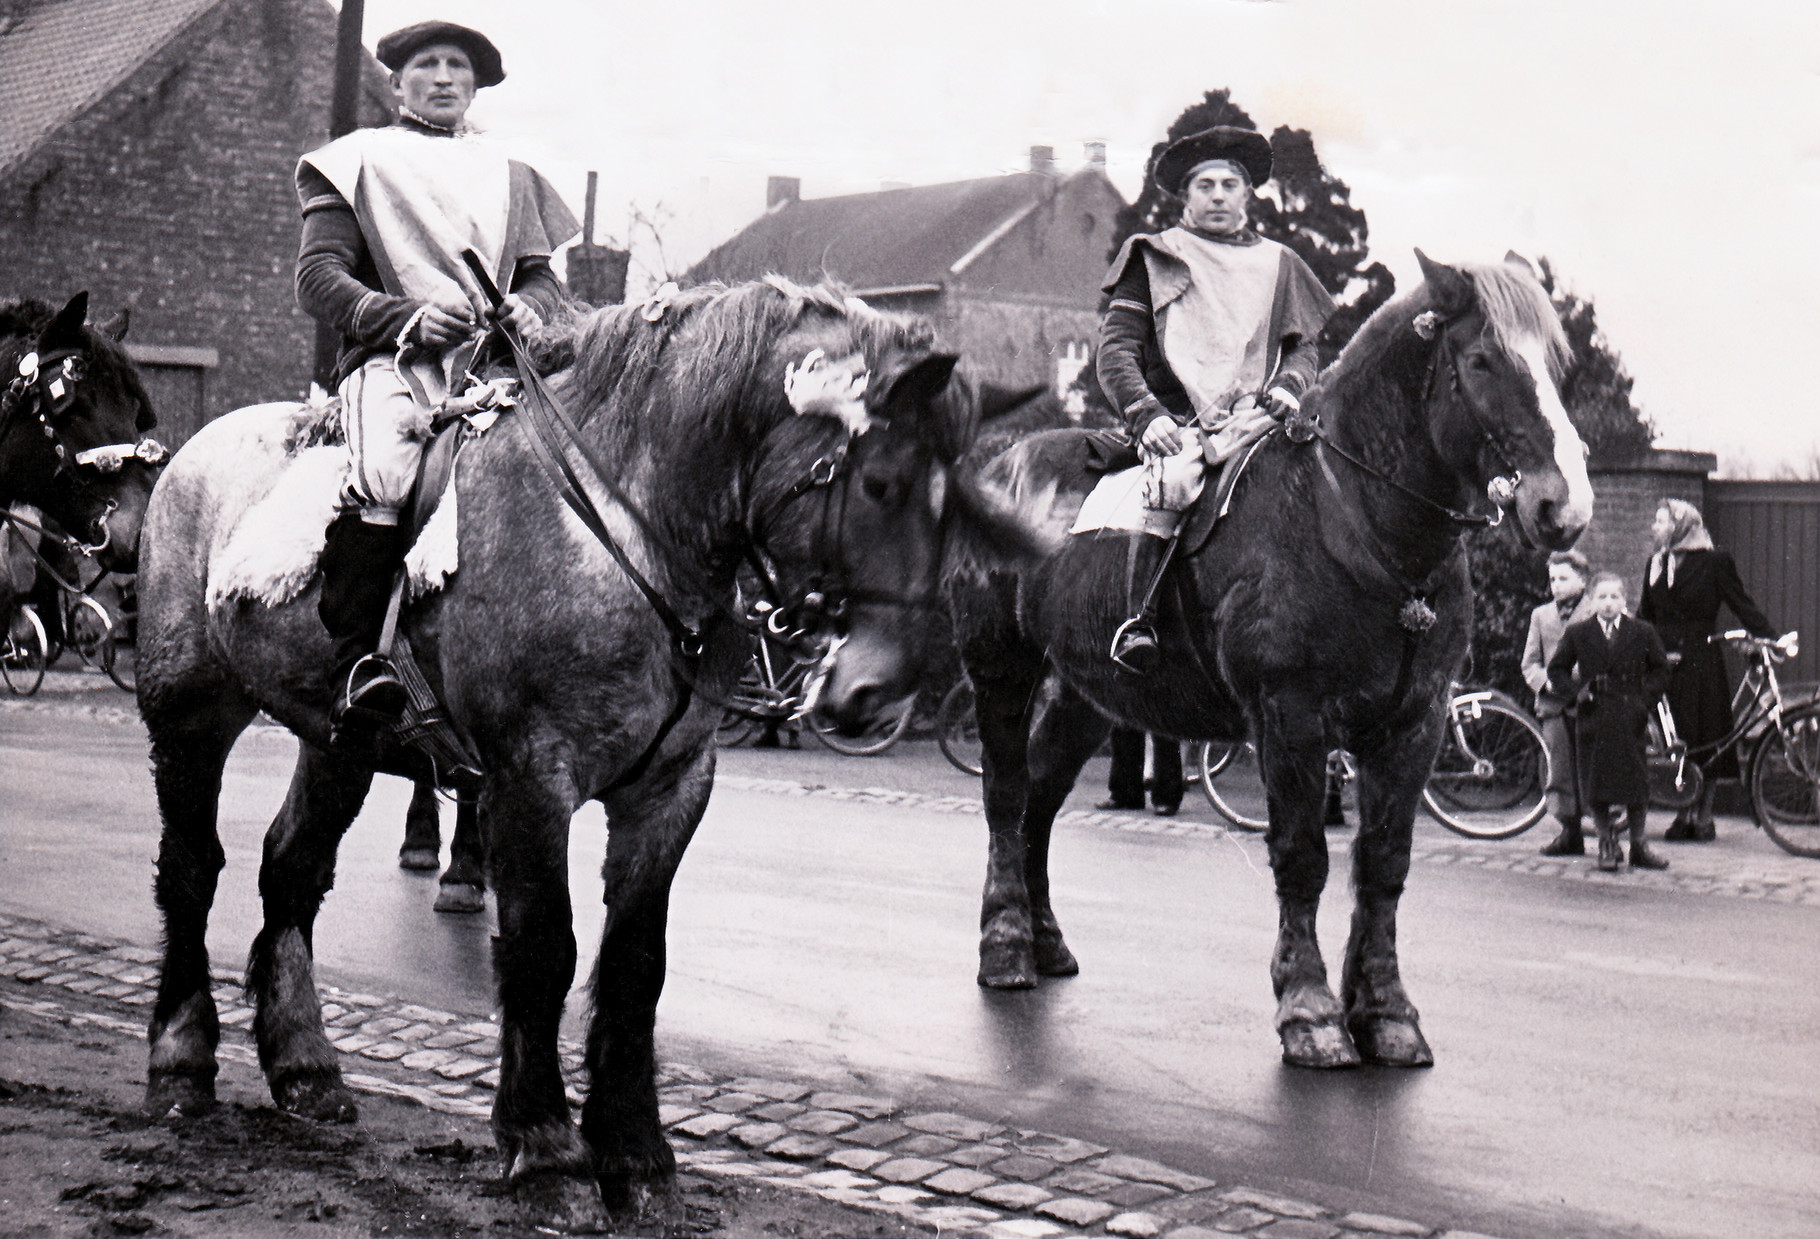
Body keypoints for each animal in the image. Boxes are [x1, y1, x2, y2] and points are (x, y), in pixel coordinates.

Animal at [138, 278, 982, 1208]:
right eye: (879, 483)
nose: (881, 690)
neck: (621, 533)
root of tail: (190, 454)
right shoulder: (530, 780)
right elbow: (544, 946)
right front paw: (545, 1143)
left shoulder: (670, 788)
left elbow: (635, 960)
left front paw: (636, 1148)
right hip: (191, 712)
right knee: (191, 867)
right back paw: (180, 1056)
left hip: (338, 740)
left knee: (290, 870)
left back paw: (304, 1065)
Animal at [939, 251, 1594, 1062]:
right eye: (1480, 359)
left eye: (1558, 366)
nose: (1566, 505)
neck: (1354, 517)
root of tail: (1003, 465)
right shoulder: (1291, 718)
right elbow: (1304, 856)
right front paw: (1310, 1010)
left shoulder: (1414, 725)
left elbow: (1384, 864)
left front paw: (1387, 1012)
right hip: (1000, 669)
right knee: (1005, 796)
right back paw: (1004, 947)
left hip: (1085, 698)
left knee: (1039, 798)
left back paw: (1045, 939)